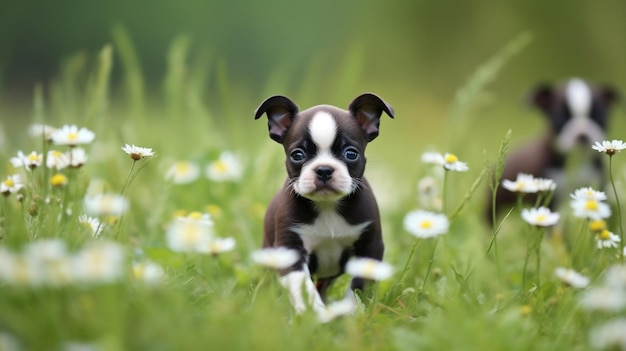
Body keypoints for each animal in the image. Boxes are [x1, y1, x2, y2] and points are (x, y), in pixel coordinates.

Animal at [252, 93, 390, 314]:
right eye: (297, 155)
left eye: (351, 153)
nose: (324, 169)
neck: (328, 206)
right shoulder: (290, 249)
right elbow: (302, 286)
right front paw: (315, 314)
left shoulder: (370, 247)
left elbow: (359, 285)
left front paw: (350, 312)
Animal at [488, 79, 616, 223]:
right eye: (559, 119)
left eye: (600, 117)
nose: (582, 134)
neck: (576, 162)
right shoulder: (550, 194)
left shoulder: (597, 184)